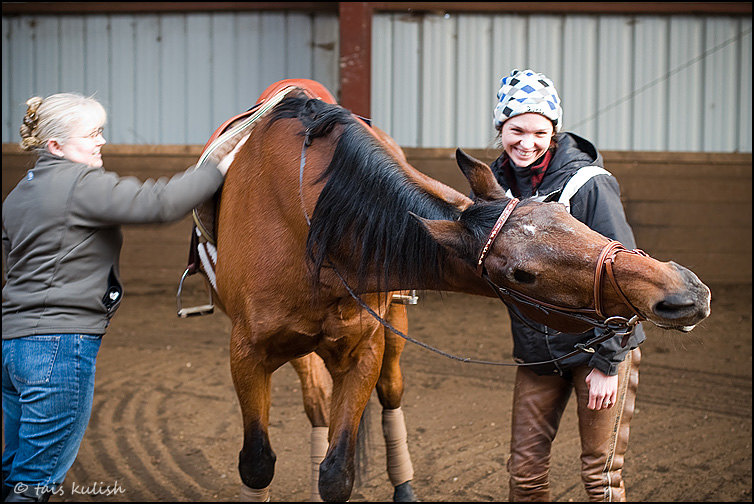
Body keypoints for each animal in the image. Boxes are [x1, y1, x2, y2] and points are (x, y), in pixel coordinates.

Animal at [204, 81, 704, 500]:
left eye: (568, 215)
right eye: (522, 274)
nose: (685, 289)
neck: (313, 229)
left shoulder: (364, 350)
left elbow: (337, 474)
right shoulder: (246, 354)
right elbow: (257, 464)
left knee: (387, 396)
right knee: (316, 405)